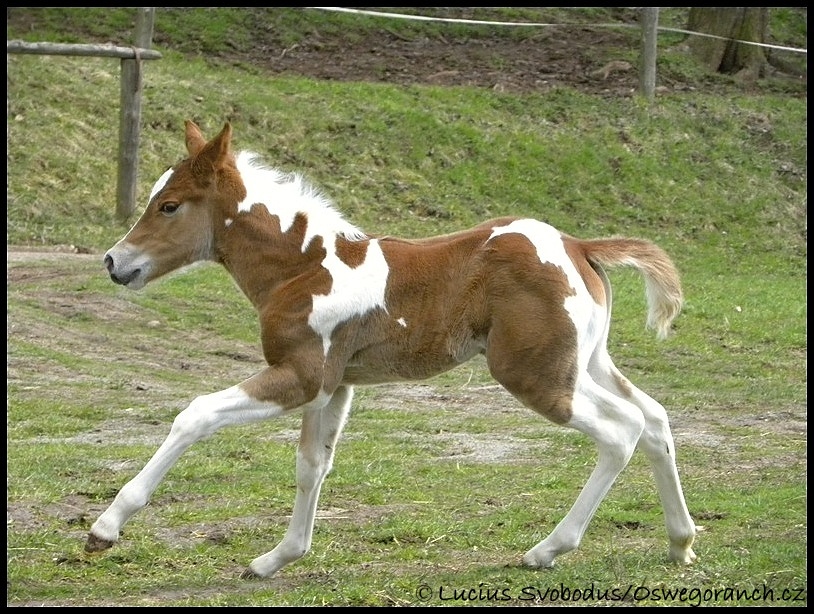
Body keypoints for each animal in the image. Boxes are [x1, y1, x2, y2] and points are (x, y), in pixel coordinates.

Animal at [89, 122, 700, 580]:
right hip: (584, 362)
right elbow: (312, 465)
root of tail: (578, 245)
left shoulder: (301, 376)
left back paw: (548, 549)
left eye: (170, 206)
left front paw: (107, 526)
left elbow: (196, 415)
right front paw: (277, 558)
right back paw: (681, 542)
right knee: (654, 418)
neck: (303, 267)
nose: (115, 262)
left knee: (622, 429)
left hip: (537, 374)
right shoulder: (334, 386)